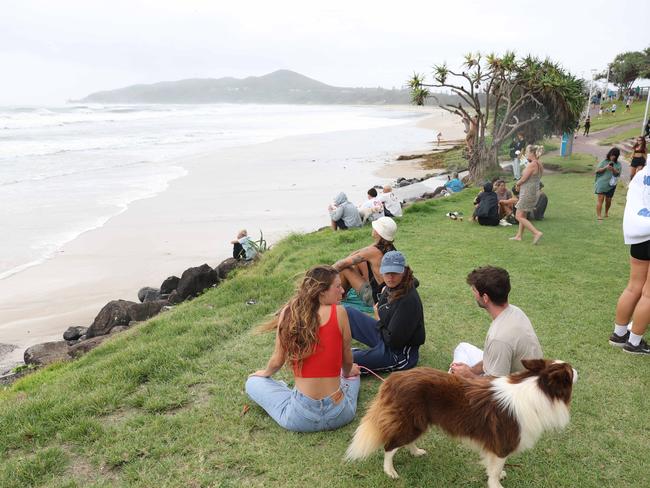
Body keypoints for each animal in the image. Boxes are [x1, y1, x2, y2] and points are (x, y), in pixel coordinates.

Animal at [344, 358, 576, 488]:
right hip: (410, 422)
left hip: (417, 422)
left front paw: (498, 473)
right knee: (389, 446)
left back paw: (415, 451)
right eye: (570, 372)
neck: (536, 388)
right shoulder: (503, 442)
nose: (579, 371)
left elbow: (493, 465)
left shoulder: (495, 445)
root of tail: (393, 379)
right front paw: (496, 483)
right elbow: (495, 468)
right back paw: (390, 472)